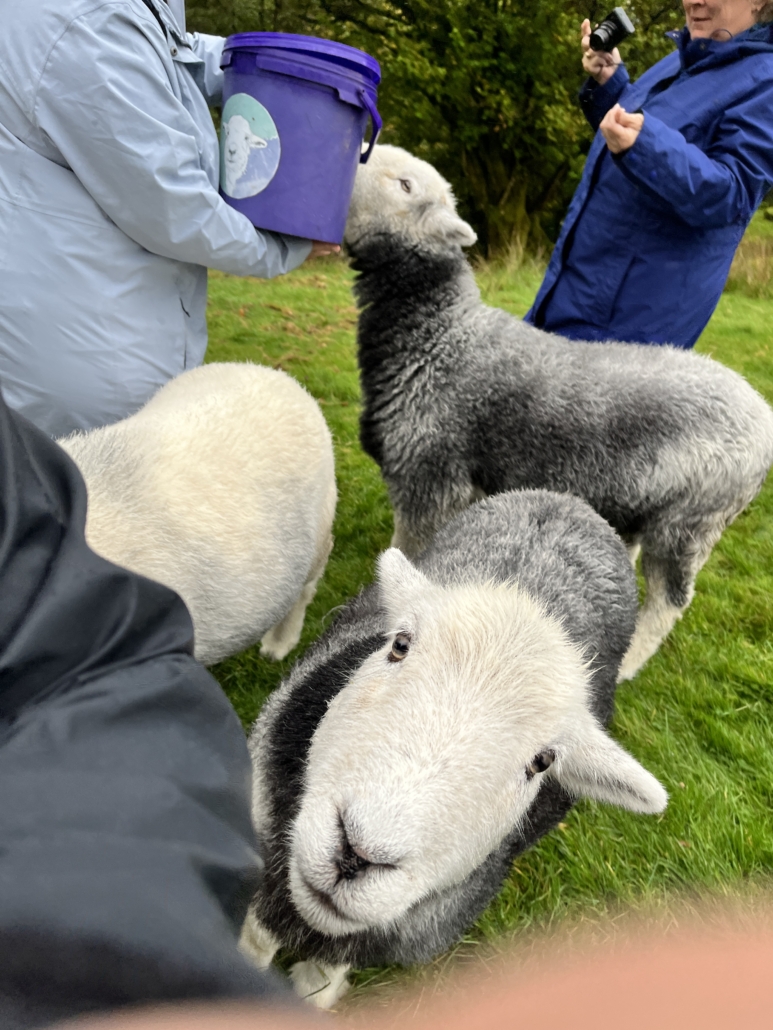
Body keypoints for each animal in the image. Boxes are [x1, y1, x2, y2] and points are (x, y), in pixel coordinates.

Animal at [344, 141, 773, 679]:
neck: (441, 336)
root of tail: (763, 415)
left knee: (670, 602)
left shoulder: (429, 478)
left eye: (404, 186)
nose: (357, 154)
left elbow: (407, 553)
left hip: (690, 522)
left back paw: (629, 663)